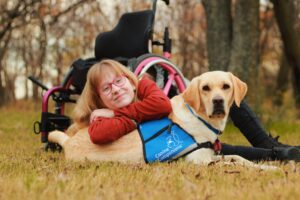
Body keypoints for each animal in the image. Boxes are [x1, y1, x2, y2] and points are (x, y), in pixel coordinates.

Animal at [49, 71, 276, 170]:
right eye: (205, 88)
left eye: (226, 86)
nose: (218, 101)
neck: (200, 118)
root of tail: (69, 141)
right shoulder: (199, 161)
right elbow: (232, 164)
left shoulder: (212, 154)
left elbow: (239, 157)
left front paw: (269, 166)